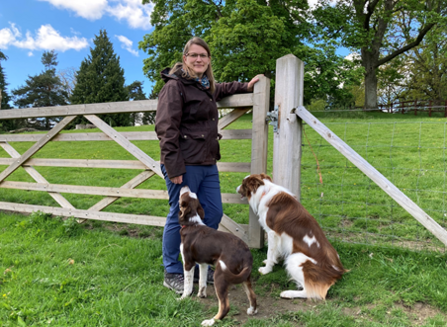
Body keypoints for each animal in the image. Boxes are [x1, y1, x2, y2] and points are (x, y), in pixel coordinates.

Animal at [177, 186, 258, 326]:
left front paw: (183, 298)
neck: (192, 223)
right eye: (192, 194)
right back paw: (252, 310)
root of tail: (246, 252)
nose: (184, 186)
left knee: (225, 306)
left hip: (220, 275)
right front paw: (201, 295)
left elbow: (188, 285)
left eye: (184, 194)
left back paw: (210, 321)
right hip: (244, 276)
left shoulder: (188, 262)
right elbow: (202, 281)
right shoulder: (203, 263)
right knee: (252, 295)